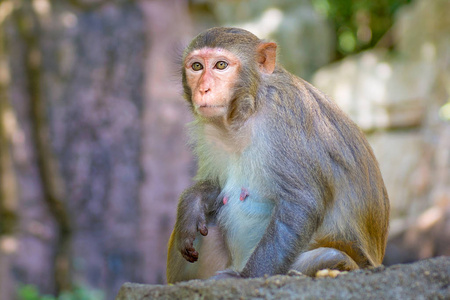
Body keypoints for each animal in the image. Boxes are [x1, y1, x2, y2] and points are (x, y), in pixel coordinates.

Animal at [167, 26, 388, 284]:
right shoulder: (211, 133)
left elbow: (300, 203)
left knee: (330, 256)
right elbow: (215, 186)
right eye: (196, 66)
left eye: (221, 65)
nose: (203, 89)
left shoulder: (285, 119)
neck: (247, 111)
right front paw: (192, 204)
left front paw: (245, 279)